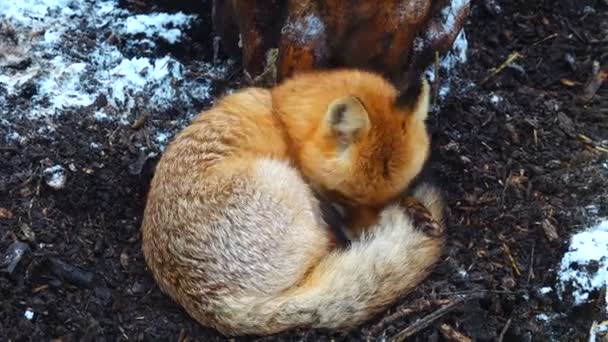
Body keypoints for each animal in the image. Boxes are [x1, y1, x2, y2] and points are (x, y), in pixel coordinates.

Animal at [142, 68, 446, 336]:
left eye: (391, 195)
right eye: (344, 198)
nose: (369, 232)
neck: (282, 118)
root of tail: (214, 304)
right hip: (285, 183)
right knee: (327, 247)